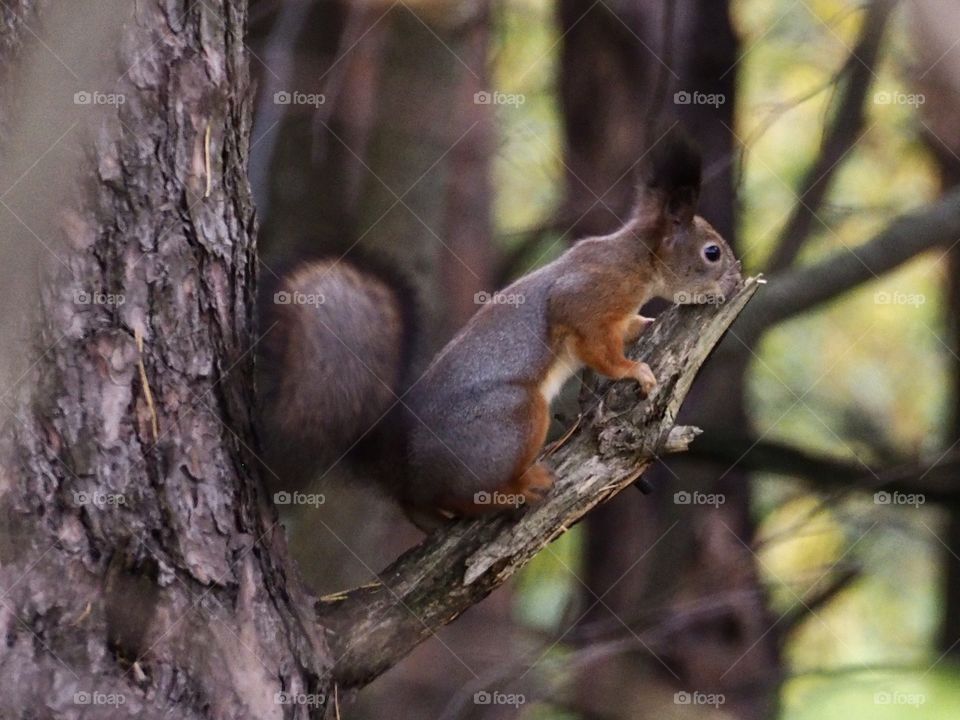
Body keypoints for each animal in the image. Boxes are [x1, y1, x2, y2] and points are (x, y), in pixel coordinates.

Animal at [257, 133, 742, 529]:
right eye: (712, 252)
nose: (736, 282)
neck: (637, 258)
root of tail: (409, 474)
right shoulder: (586, 297)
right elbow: (598, 349)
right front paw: (633, 370)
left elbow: (624, 331)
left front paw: (646, 325)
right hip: (513, 417)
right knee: (465, 494)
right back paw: (518, 487)